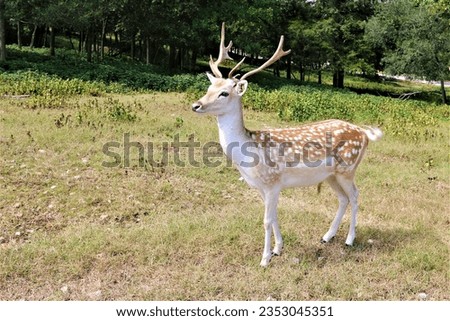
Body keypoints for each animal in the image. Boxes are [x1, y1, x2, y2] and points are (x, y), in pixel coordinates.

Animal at [191, 23, 384, 266]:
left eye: (224, 92)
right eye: (209, 88)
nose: (196, 105)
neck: (249, 157)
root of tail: (365, 133)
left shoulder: (273, 182)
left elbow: (266, 220)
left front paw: (264, 259)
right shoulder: (261, 187)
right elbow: (274, 217)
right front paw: (277, 249)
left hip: (348, 168)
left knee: (356, 196)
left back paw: (349, 240)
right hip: (331, 175)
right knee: (343, 199)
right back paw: (327, 236)